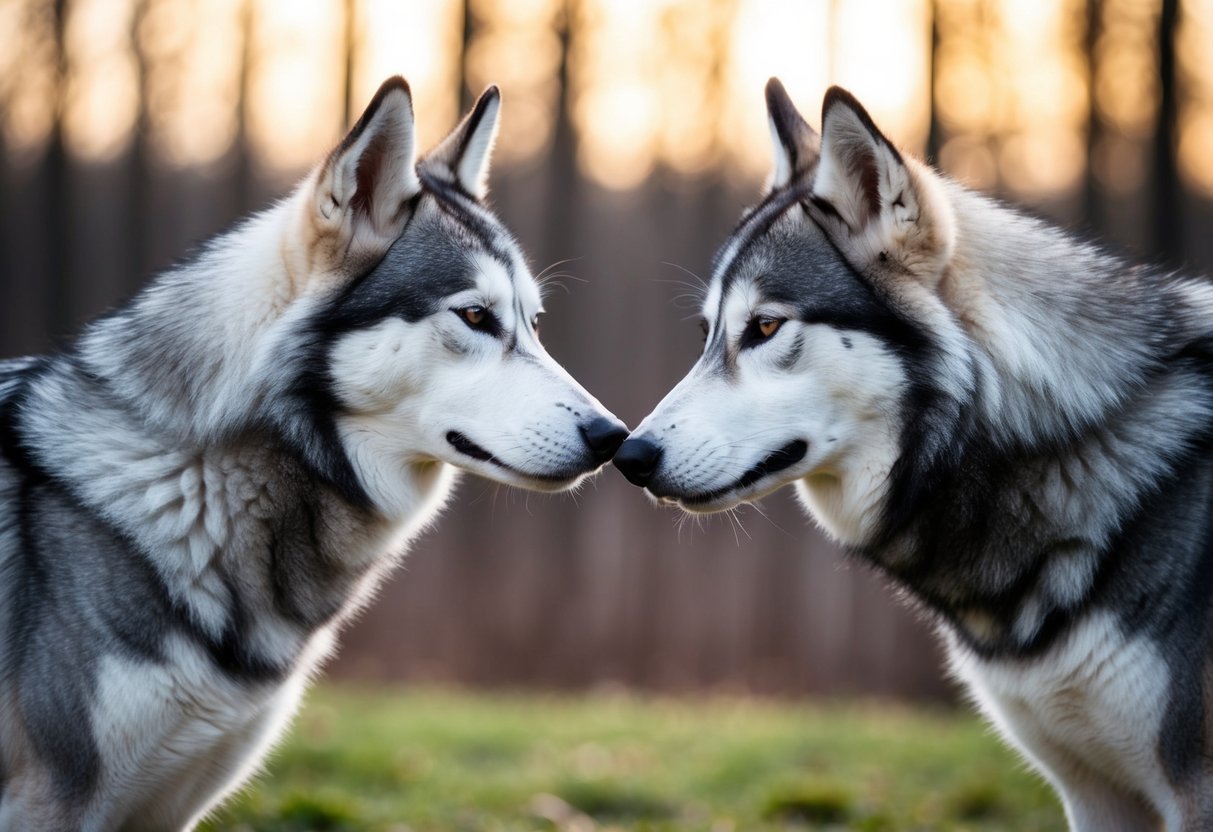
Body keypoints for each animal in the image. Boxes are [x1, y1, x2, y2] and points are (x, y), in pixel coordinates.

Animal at [0, 76, 627, 831]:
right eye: (476, 316)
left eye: (533, 324)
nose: (614, 437)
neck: (197, 482)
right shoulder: (51, 802)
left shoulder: (167, 808)